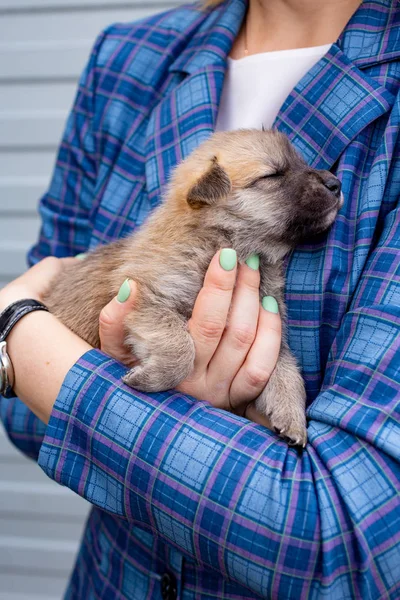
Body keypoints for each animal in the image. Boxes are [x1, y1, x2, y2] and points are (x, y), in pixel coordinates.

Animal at [44, 130, 344, 446]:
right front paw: (152, 377)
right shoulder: (148, 301)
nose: (336, 184)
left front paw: (292, 417)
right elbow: (181, 348)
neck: (222, 243)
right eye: (272, 175)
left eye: (301, 163)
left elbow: (287, 370)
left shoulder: (272, 329)